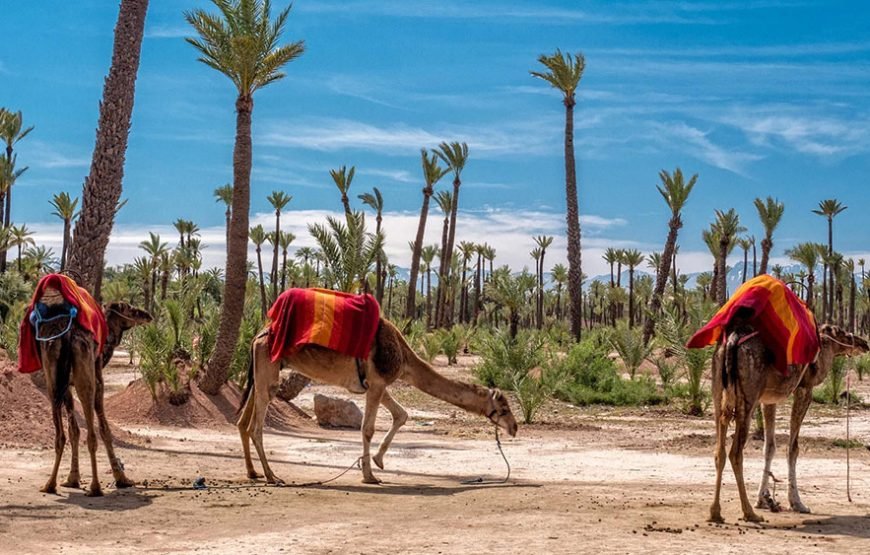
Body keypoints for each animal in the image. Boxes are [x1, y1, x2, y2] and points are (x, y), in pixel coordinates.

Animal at [34, 292, 151, 496]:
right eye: (129, 308)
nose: (147, 315)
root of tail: (67, 335)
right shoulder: (98, 378)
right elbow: (104, 430)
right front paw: (122, 479)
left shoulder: (66, 386)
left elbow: (73, 431)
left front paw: (72, 479)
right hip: (85, 373)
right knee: (92, 434)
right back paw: (95, 487)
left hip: (52, 378)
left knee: (60, 435)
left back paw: (50, 484)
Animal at [238, 318, 519, 484]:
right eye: (504, 408)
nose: (515, 427)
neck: (404, 357)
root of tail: (257, 335)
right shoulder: (377, 382)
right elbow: (368, 428)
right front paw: (369, 475)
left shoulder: (378, 385)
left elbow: (402, 414)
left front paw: (377, 460)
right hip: (268, 371)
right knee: (255, 426)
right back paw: (272, 476)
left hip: (261, 372)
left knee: (242, 422)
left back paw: (253, 473)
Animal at [709, 323, 868, 523]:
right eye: (843, 333)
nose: (864, 343)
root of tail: (731, 341)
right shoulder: (804, 389)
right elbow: (793, 448)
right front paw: (797, 503)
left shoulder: (768, 399)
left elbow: (769, 447)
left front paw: (763, 499)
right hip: (748, 397)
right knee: (735, 453)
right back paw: (749, 513)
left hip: (718, 391)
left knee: (719, 451)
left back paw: (715, 512)